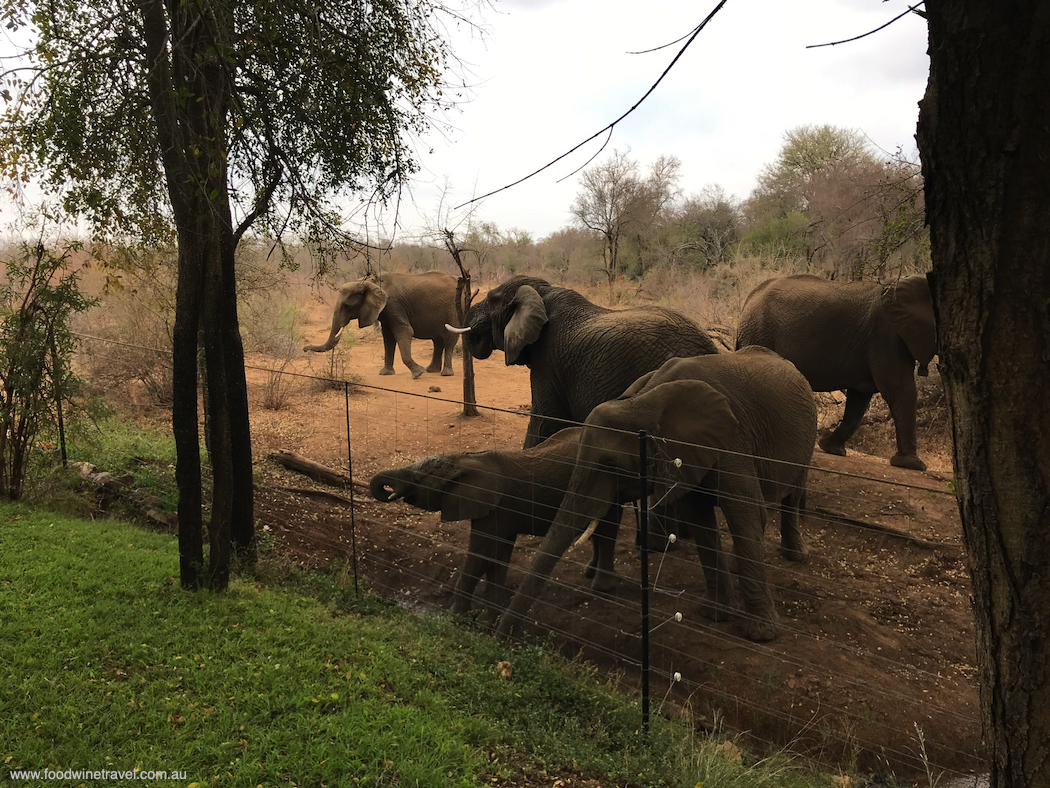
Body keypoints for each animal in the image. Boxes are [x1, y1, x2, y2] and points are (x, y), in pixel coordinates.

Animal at [306, 271, 464, 380]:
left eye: (346, 306)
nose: (305, 349)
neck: (366, 282)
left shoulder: (393, 304)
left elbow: (404, 330)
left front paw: (418, 373)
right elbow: (388, 336)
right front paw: (385, 373)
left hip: (453, 308)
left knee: (449, 338)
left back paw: (445, 373)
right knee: (437, 340)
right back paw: (431, 370)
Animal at [367, 426, 621, 617]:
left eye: (419, 480)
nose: (386, 490)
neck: (464, 460)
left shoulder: (498, 507)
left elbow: (482, 555)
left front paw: (457, 618)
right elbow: (498, 556)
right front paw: (488, 619)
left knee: (607, 527)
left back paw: (602, 585)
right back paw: (591, 573)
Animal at [499, 348, 818, 643]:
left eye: (611, 465)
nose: (502, 639)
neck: (646, 401)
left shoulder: (731, 441)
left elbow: (744, 510)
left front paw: (761, 634)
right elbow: (701, 522)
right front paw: (713, 615)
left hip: (806, 437)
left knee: (790, 496)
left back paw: (795, 556)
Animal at [730, 275, 936, 472]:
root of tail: (749, 300)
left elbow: (859, 398)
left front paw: (831, 448)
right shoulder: (886, 334)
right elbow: (900, 389)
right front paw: (913, 465)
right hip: (760, 331)